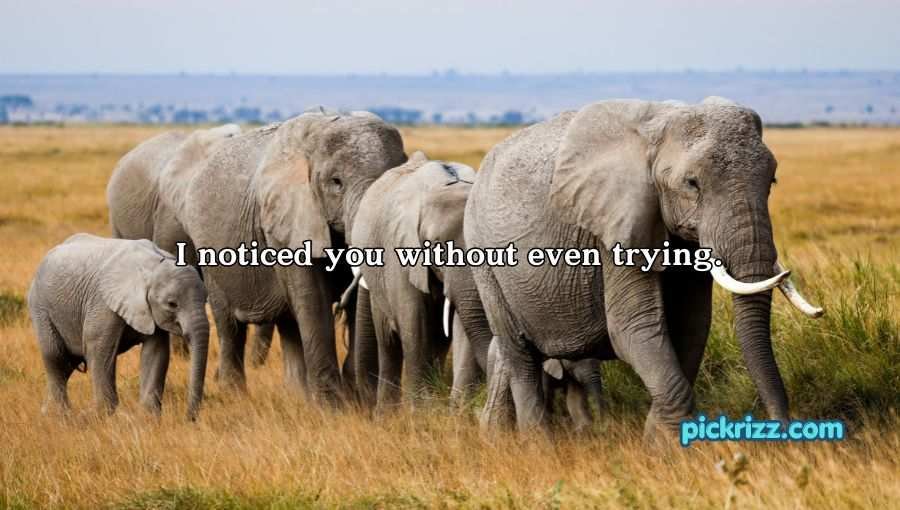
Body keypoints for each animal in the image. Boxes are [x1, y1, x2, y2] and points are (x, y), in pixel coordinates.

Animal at [27, 234, 209, 419]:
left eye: (206, 299)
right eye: (172, 304)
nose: (189, 418)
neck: (152, 266)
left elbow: (156, 352)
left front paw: (148, 418)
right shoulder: (103, 304)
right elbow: (99, 350)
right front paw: (102, 417)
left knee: (67, 365)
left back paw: (47, 413)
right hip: (40, 306)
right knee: (55, 357)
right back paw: (60, 416)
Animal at [179, 110, 407, 402]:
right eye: (336, 183)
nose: (360, 392)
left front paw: (353, 399)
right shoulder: (289, 219)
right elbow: (313, 297)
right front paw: (333, 406)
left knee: (288, 322)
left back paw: (297, 394)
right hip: (208, 252)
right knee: (229, 324)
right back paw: (236, 395)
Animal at [350, 152, 493, 409]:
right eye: (435, 244)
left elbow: (464, 325)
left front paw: (458, 409)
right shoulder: (400, 253)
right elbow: (414, 322)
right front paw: (421, 410)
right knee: (388, 341)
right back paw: (387, 412)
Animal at [465, 98, 823, 438]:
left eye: (772, 180)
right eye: (692, 183)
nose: (783, 430)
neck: (660, 128)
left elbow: (691, 324)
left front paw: (658, 439)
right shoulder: (615, 224)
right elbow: (632, 326)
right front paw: (663, 446)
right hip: (482, 253)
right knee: (519, 354)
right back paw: (538, 444)